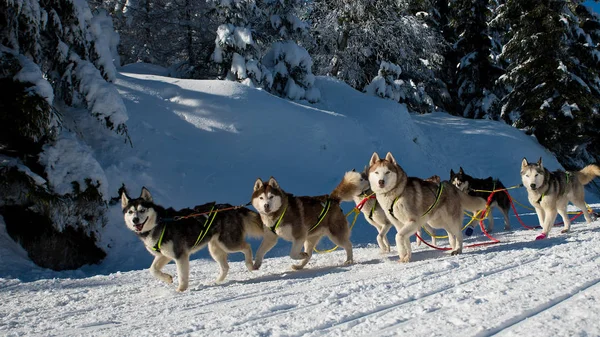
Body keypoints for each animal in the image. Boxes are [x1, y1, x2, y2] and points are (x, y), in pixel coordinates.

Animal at [120, 186, 264, 292]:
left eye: (142, 210)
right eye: (130, 212)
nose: (135, 220)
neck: (159, 223)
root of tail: (232, 208)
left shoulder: (180, 256)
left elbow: (182, 276)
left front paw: (180, 290)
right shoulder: (164, 255)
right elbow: (153, 269)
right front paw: (168, 278)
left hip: (228, 243)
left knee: (247, 246)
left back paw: (250, 265)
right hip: (215, 248)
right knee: (225, 267)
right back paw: (217, 281)